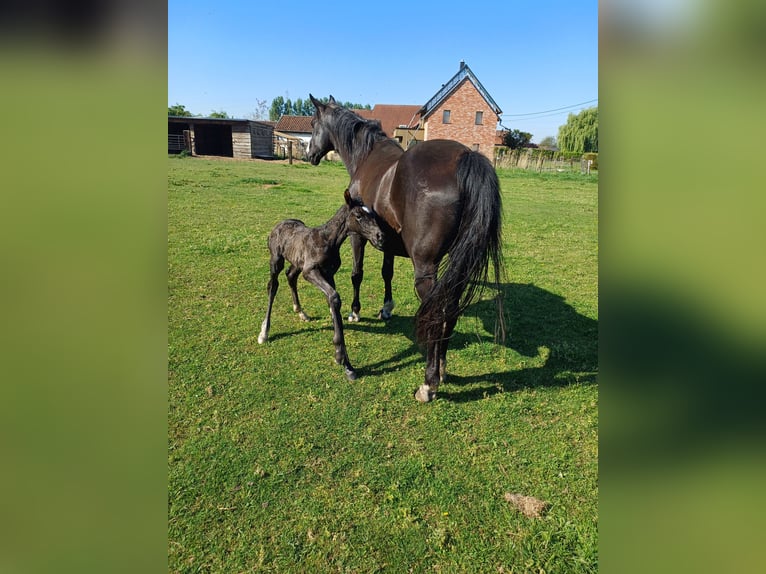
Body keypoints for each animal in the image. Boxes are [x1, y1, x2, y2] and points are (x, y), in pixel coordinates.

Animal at [257, 189, 386, 381]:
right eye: (358, 215)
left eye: (374, 215)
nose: (381, 237)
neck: (327, 241)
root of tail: (279, 224)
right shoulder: (310, 271)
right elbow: (334, 297)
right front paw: (340, 356)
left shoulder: (328, 274)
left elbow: (333, 302)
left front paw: (347, 365)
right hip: (276, 260)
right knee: (273, 286)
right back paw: (264, 332)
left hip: (297, 262)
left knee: (290, 276)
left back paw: (300, 312)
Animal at [307, 94, 504, 402]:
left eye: (313, 124)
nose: (309, 154)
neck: (367, 156)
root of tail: (465, 157)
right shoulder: (386, 239)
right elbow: (386, 272)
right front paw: (386, 308)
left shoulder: (359, 236)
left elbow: (357, 274)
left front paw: (355, 310)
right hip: (457, 266)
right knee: (451, 309)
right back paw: (442, 368)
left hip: (425, 269)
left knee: (437, 312)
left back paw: (429, 383)